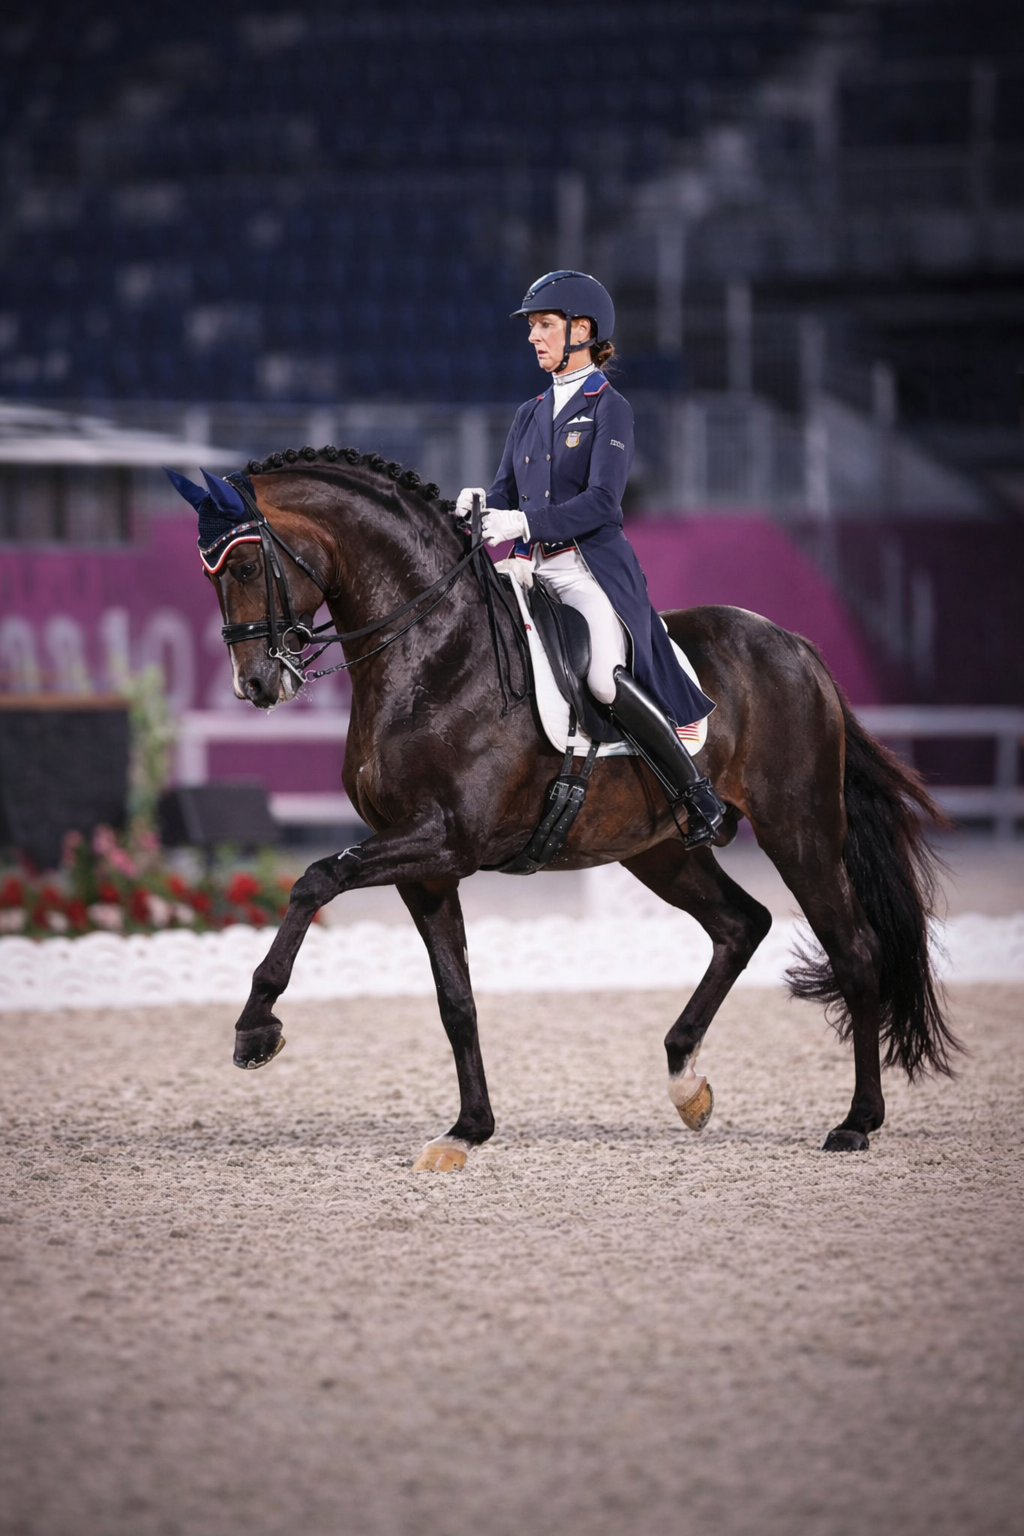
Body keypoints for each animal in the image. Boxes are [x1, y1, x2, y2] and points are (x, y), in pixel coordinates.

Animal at [181, 444, 959, 1171]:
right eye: (209, 575)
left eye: (244, 569)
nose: (256, 685)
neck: (434, 655)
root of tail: (795, 646)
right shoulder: (423, 866)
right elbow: (455, 998)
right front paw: (467, 1130)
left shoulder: (446, 839)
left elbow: (316, 878)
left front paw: (255, 1028)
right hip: (661, 850)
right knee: (742, 924)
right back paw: (686, 1081)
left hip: (799, 831)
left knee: (854, 952)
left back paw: (855, 1122)